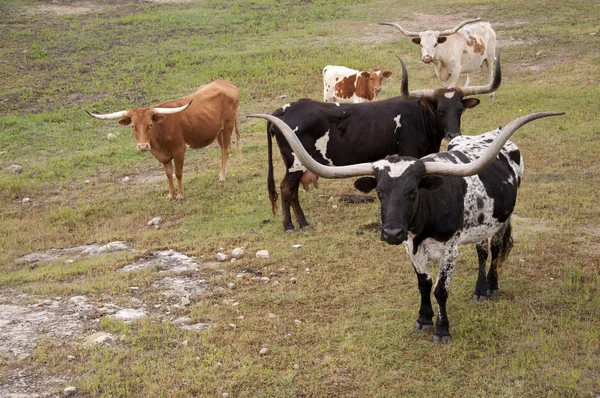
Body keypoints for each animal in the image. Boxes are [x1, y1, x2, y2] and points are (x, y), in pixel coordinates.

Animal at [85, 79, 240, 201]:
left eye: (150, 125)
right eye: (133, 126)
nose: (143, 146)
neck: (159, 134)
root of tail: (226, 83)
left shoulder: (179, 150)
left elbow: (178, 173)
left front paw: (180, 195)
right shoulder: (162, 156)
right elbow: (168, 174)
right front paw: (171, 195)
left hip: (228, 126)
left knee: (226, 149)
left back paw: (222, 177)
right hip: (218, 131)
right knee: (222, 148)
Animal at [247, 110, 564, 344]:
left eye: (413, 191)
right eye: (379, 192)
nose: (391, 233)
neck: (423, 223)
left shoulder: (449, 248)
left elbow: (440, 290)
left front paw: (442, 330)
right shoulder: (410, 247)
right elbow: (423, 285)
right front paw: (423, 319)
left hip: (502, 220)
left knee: (496, 250)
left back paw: (492, 287)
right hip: (480, 225)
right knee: (482, 252)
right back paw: (480, 290)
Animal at [264, 54, 500, 232]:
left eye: (459, 110)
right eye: (439, 110)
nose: (453, 133)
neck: (419, 116)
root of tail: (285, 109)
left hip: (298, 164)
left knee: (293, 190)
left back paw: (303, 223)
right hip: (295, 163)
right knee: (286, 189)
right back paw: (289, 226)